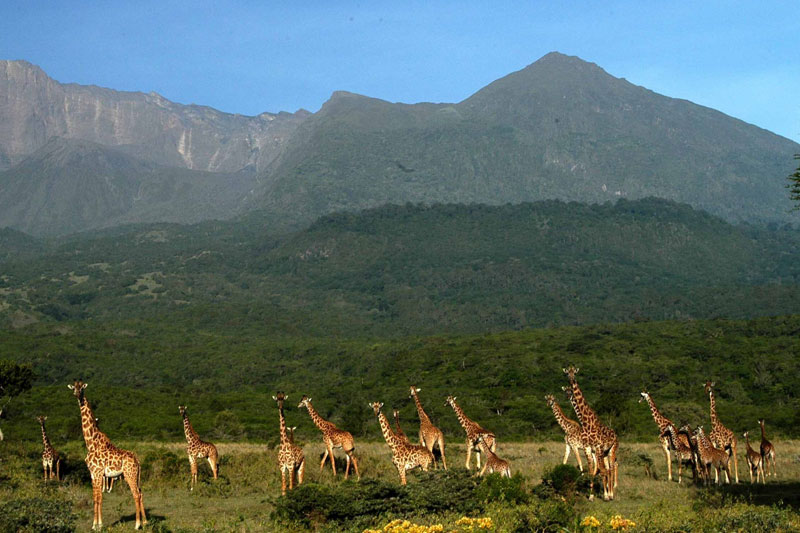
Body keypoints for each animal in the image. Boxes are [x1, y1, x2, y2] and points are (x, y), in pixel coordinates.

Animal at [67, 380, 147, 528]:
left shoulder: (98, 472)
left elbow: (99, 497)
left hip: (129, 475)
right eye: (74, 387)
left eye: (82, 388)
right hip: (135, 476)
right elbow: (95, 497)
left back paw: (137, 524)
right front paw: (95, 524)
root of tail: (138, 460)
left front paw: (98, 525)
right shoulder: (93, 474)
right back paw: (145, 521)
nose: (77, 394)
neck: (90, 443)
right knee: (140, 492)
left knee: (136, 494)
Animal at [564, 366, 620, 498]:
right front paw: (591, 496)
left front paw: (606, 495)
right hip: (604, 452)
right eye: (567, 374)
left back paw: (611, 494)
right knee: (606, 468)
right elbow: (591, 471)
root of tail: (615, 434)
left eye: (575, 373)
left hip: (611, 450)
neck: (586, 423)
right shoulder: (588, 448)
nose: (572, 380)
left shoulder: (598, 447)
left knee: (610, 468)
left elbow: (601, 470)